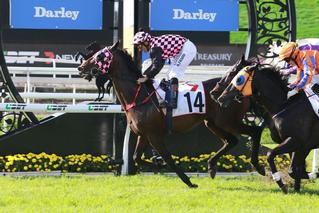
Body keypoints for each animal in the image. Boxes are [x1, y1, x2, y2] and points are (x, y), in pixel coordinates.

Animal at [77, 42, 264, 188]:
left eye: (100, 56)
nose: (81, 67)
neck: (140, 95)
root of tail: (241, 91)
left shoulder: (155, 135)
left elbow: (169, 159)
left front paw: (188, 181)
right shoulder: (143, 135)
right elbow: (137, 157)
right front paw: (157, 164)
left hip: (228, 121)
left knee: (254, 132)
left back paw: (258, 166)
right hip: (212, 123)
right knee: (231, 141)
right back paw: (211, 167)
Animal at [218, 65, 319, 193]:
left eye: (238, 79)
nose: (220, 98)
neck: (285, 105)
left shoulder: (298, 142)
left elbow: (271, 155)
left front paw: (281, 183)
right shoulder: (297, 145)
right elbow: (294, 170)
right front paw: (291, 186)